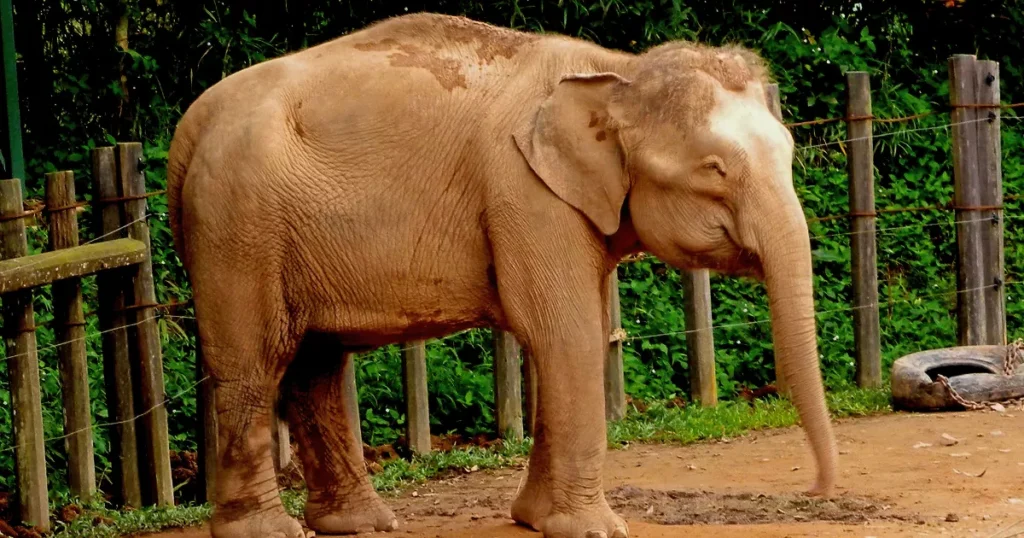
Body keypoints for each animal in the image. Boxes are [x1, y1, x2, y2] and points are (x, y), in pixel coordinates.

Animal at [167, 11, 835, 536]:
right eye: (714, 170)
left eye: (789, 153)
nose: (814, 492)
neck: (616, 72)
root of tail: (188, 128)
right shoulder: (523, 192)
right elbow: (567, 336)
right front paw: (593, 530)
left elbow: (577, 333)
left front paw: (534, 520)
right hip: (239, 226)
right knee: (256, 363)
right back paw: (268, 532)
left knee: (316, 365)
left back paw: (360, 524)